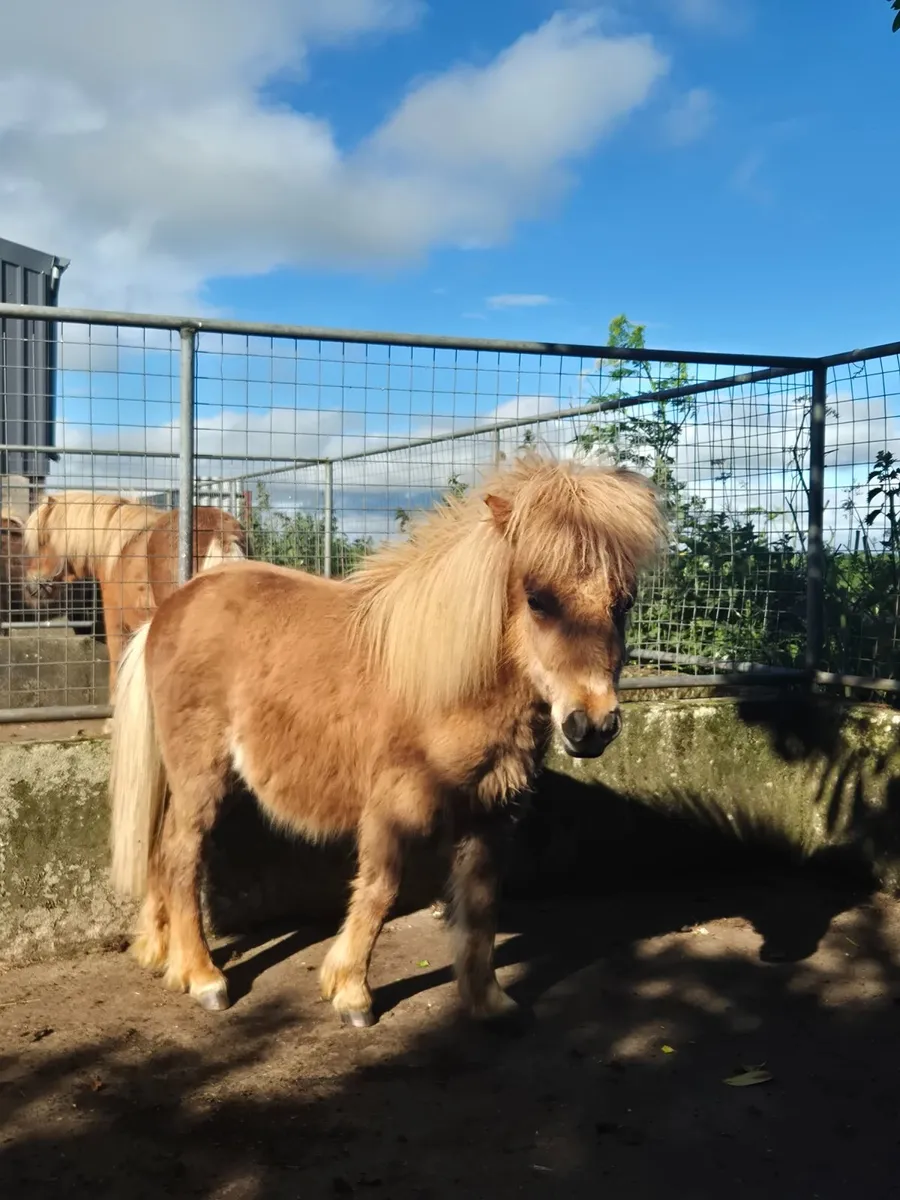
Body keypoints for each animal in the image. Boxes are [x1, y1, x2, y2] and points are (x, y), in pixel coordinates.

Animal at [107, 454, 666, 1028]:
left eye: (624, 602)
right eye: (537, 599)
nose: (592, 726)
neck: (451, 684)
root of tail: (171, 608)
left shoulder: (491, 815)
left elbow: (482, 905)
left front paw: (487, 1000)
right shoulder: (392, 808)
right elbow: (380, 890)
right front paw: (351, 992)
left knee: (160, 850)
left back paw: (162, 952)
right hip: (201, 773)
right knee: (181, 853)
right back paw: (203, 977)